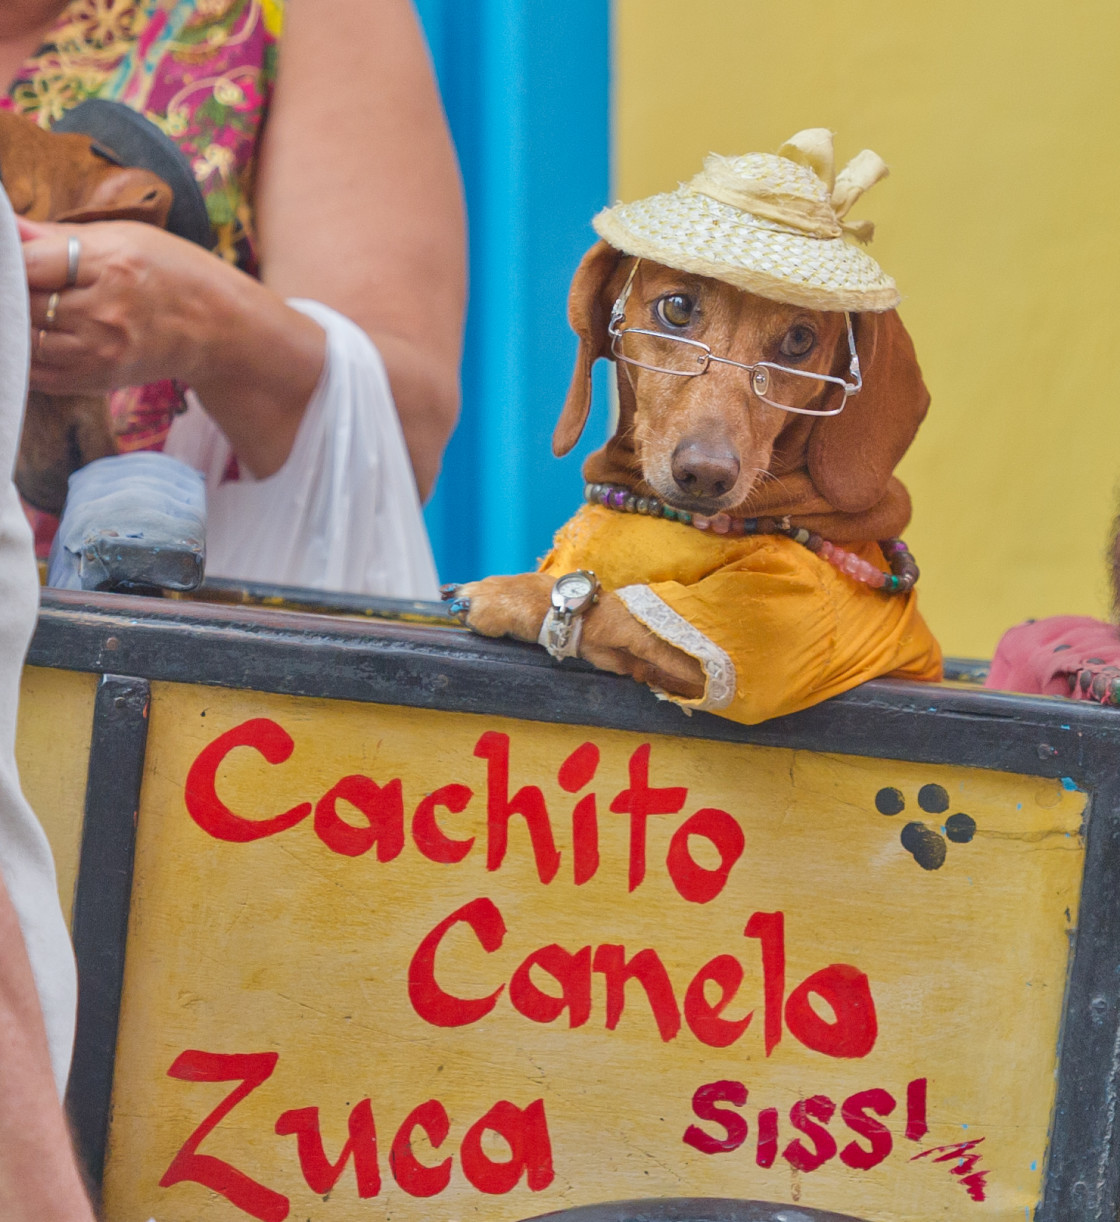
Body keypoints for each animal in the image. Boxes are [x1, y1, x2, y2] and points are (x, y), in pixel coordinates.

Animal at [442, 239, 938, 723]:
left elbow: (616, 609)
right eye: (677, 307)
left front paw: (505, 594)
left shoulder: (766, 640)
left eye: (800, 339)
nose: (706, 474)